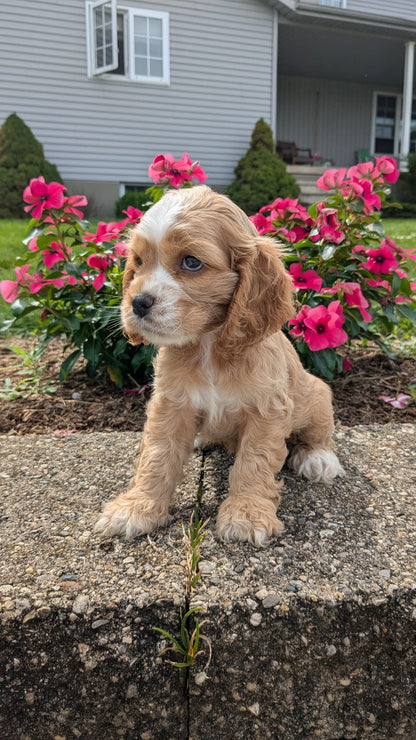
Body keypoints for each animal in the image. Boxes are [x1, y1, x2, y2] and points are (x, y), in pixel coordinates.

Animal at [95, 185, 344, 544]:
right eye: (139, 262)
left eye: (191, 262)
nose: (137, 302)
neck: (209, 346)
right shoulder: (171, 403)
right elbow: (156, 456)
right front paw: (136, 508)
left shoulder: (268, 410)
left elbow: (254, 461)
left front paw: (246, 514)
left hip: (316, 394)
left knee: (319, 431)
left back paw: (318, 458)